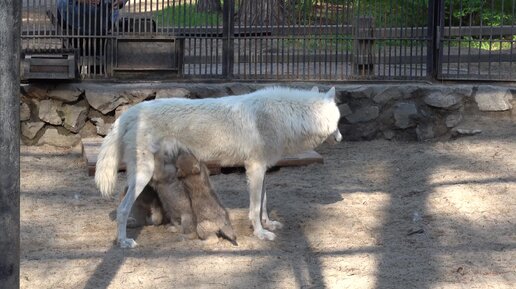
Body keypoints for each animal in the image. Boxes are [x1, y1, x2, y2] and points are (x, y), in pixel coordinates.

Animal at [97, 85, 342, 248]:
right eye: (339, 122)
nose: (341, 138)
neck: (282, 117)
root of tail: (129, 113)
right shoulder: (254, 168)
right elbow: (254, 208)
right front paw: (260, 234)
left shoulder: (263, 169)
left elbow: (263, 203)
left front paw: (268, 224)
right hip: (144, 174)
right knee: (122, 208)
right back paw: (124, 241)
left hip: (143, 174)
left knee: (123, 197)